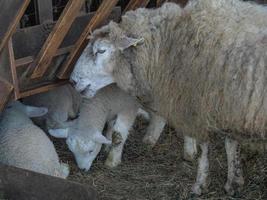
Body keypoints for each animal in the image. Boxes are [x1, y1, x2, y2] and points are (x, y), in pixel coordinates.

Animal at [70, 0, 267, 195]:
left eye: (101, 51)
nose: (72, 81)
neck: (171, 42)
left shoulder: (198, 105)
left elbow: (205, 147)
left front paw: (200, 183)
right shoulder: (228, 105)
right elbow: (231, 143)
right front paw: (234, 182)